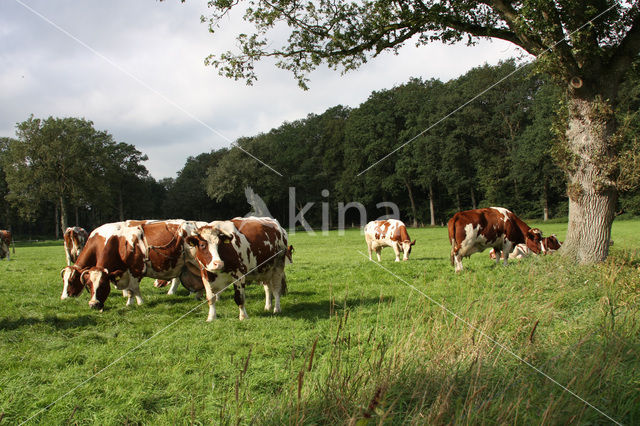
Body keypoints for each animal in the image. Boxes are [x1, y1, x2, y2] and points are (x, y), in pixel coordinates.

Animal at [60, 220, 205, 310]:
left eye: (103, 285)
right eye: (89, 285)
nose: (93, 305)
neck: (114, 242)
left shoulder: (135, 269)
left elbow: (134, 288)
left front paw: (140, 302)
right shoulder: (123, 271)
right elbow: (129, 290)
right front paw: (129, 303)